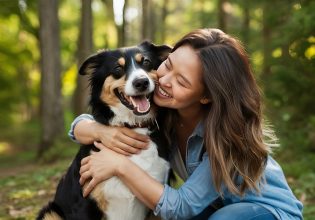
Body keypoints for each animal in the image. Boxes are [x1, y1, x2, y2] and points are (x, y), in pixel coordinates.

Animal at [37, 41, 173, 220]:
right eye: (117, 68)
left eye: (146, 62)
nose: (141, 82)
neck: (133, 126)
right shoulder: (83, 204)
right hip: (50, 212)